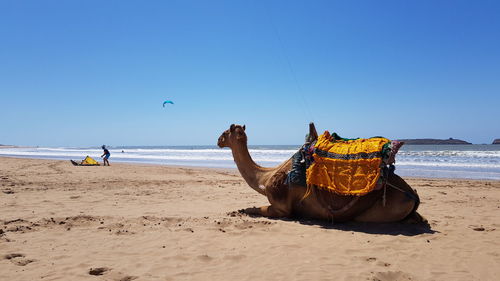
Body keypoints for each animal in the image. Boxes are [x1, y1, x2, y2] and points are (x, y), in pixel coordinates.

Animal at [217, 123, 424, 222]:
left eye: (225, 132)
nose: (218, 140)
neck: (265, 177)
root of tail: (413, 195)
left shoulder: (281, 208)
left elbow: (250, 209)